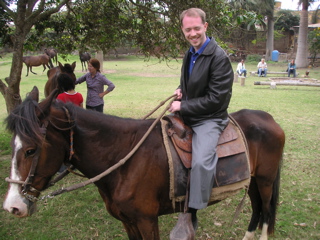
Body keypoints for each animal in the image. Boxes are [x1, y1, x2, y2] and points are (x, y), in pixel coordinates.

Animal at [3, 87, 284, 240]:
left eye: (30, 150)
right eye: (14, 144)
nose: (12, 207)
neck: (124, 160)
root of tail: (270, 119)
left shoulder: (147, 220)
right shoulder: (128, 221)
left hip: (265, 180)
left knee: (266, 210)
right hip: (253, 180)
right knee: (257, 208)